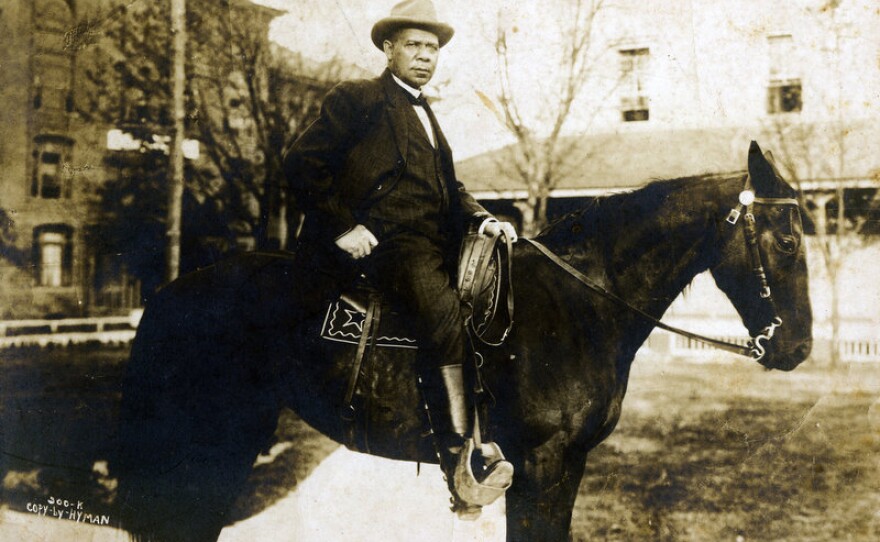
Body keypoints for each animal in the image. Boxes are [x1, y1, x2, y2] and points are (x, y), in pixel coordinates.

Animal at [115, 142, 812, 540]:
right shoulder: (540, 464)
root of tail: (168, 294)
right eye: (786, 240)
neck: (580, 305)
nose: (798, 349)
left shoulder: (568, 465)